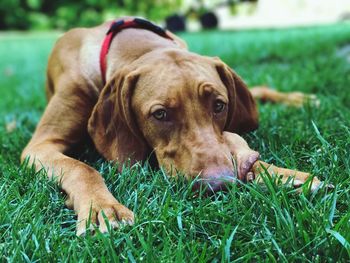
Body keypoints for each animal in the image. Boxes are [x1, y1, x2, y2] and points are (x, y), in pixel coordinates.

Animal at [22, 17, 326, 236]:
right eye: (160, 114)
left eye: (219, 105)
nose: (219, 186)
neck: (136, 43)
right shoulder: (39, 146)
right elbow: (81, 168)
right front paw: (102, 207)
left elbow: (231, 140)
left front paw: (277, 173)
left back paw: (299, 99)